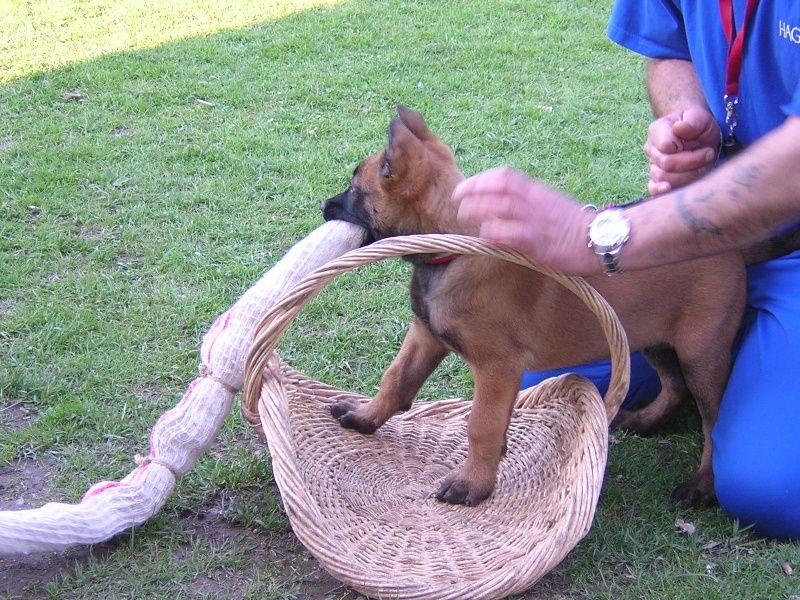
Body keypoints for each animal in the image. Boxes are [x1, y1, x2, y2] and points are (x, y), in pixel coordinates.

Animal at [320, 105, 756, 508]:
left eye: (354, 189)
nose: (324, 205)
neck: (454, 248)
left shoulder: (496, 367)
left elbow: (482, 424)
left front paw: (472, 484)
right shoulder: (426, 335)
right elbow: (396, 379)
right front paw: (365, 417)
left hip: (702, 354)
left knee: (713, 423)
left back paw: (703, 485)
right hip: (652, 336)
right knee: (674, 385)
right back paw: (645, 419)